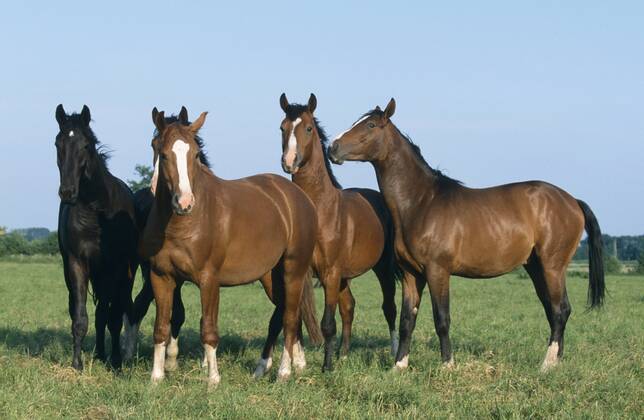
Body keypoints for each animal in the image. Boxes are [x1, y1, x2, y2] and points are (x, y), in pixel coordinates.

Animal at [55, 104, 138, 370]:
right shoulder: (76, 264)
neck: (96, 211)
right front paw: (77, 364)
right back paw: (99, 353)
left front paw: (116, 362)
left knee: (108, 312)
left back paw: (106, 355)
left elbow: (111, 317)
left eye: (86, 145)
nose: (67, 192)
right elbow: (80, 317)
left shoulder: (116, 267)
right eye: (58, 143)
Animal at [121, 108, 322, 370]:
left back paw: (285, 370)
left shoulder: (209, 279)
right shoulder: (161, 276)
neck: (182, 226)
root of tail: (298, 197)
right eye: (160, 152)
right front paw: (161, 374)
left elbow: (207, 328)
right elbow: (163, 327)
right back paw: (272, 367)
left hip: (293, 268)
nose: (184, 202)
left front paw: (209, 374)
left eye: (196, 153)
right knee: (285, 312)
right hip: (271, 275)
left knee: (290, 315)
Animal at [277, 94, 401, 372]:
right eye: (282, 127)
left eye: (308, 128)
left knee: (389, 308)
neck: (321, 211)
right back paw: (343, 354)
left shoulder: (330, 273)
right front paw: (293, 366)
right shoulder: (305, 273)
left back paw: (394, 352)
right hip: (345, 277)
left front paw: (327, 367)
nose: (289, 162)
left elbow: (327, 323)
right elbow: (295, 318)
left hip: (382, 269)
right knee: (349, 307)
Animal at [329, 98, 605, 372]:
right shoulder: (411, 274)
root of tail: (572, 201)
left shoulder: (437, 271)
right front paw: (399, 365)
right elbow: (408, 319)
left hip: (552, 266)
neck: (422, 202)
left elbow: (441, 318)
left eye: (371, 125)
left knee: (560, 310)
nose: (333, 148)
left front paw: (447, 365)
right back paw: (557, 361)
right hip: (536, 267)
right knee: (554, 310)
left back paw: (546, 364)